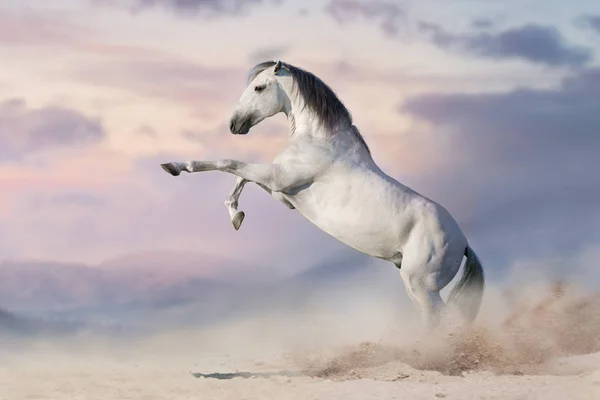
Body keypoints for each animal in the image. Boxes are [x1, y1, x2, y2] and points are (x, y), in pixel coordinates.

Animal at [162, 60, 486, 328]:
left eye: (259, 87)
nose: (234, 124)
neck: (319, 140)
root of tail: (463, 242)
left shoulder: (278, 178)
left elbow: (229, 163)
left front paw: (175, 166)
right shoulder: (282, 192)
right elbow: (241, 177)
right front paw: (236, 215)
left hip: (421, 287)